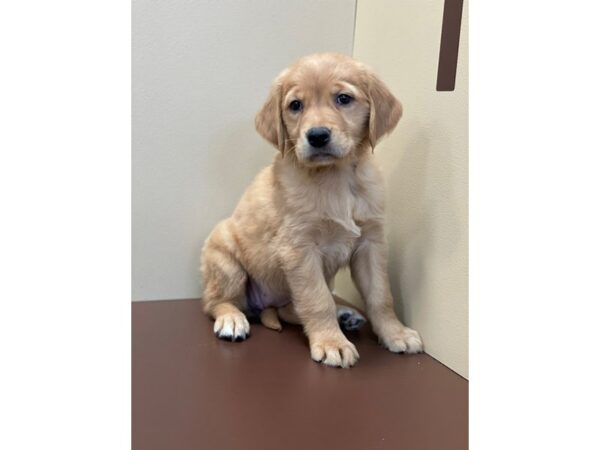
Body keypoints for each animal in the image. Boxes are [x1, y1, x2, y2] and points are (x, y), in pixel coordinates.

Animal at [200, 53, 422, 370]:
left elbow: (381, 295)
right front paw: (332, 343)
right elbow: (317, 301)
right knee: (215, 302)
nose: (317, 136)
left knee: (289, 310)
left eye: (343, 98)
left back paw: (345, 314)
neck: (335, 177)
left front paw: (396, 333)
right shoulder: (299, 248)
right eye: (295, 105)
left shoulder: (371, 243)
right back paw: (232, 319)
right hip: (226, 260)